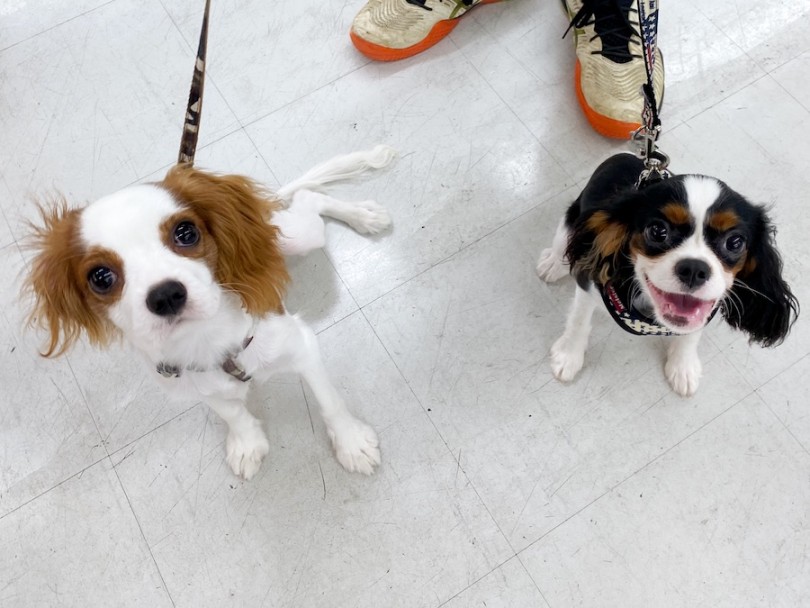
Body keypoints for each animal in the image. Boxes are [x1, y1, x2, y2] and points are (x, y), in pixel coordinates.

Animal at [536, 154, 796, 396]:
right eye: (658, 231)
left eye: (735, 242)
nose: (694, 269)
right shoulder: (589, 283)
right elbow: (579, 321)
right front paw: (568, 356)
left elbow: (691, 333)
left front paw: (683, 367)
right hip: (574, 222)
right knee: (563, 244)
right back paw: (552, 264)